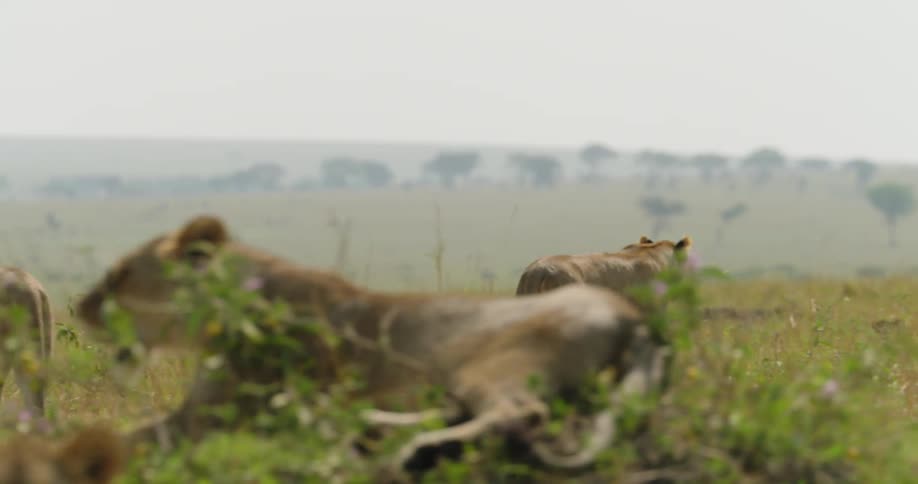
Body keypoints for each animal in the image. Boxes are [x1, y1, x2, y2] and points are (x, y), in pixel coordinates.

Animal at [75, 215, 670, 471]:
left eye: (119, 274)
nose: (80, 307)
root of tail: (633, 321)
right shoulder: (198, 411)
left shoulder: (209, 415)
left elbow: (121, 440)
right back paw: (370, 430)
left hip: (489, 359)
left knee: (518, 414)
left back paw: (412, 450)